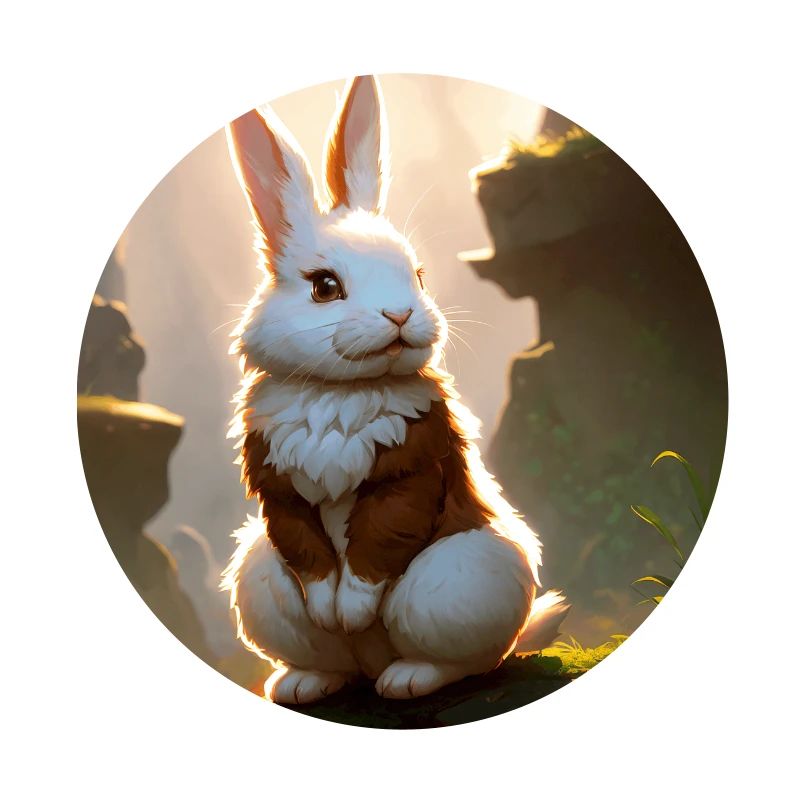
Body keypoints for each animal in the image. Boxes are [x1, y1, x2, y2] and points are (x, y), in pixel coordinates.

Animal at [220, 75, 569, 704]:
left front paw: (353, 611)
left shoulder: (411, 469)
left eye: (418, 275)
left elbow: (379, 540)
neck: (341, 392)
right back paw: (301, 684)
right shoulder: (277, 489)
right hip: (258, 573)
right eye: (325, 286)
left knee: (468, 661)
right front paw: (329, 612)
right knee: (333, 661)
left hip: (455, 582)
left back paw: (406, 680)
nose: (401, 314)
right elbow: (307, 551)